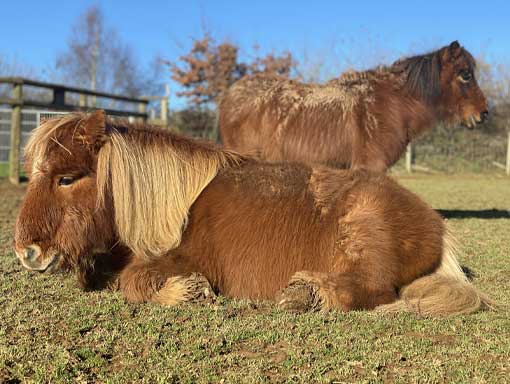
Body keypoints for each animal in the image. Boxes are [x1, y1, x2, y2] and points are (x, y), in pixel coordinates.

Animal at [12, 110, 494, 316]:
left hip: (365, 227)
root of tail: (435, 224)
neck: (175, 209)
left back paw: (306, 294)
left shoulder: (182, 258)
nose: (25, 252)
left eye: (66, 179)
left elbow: (135, 282)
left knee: (370, 288)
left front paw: (186, 292)